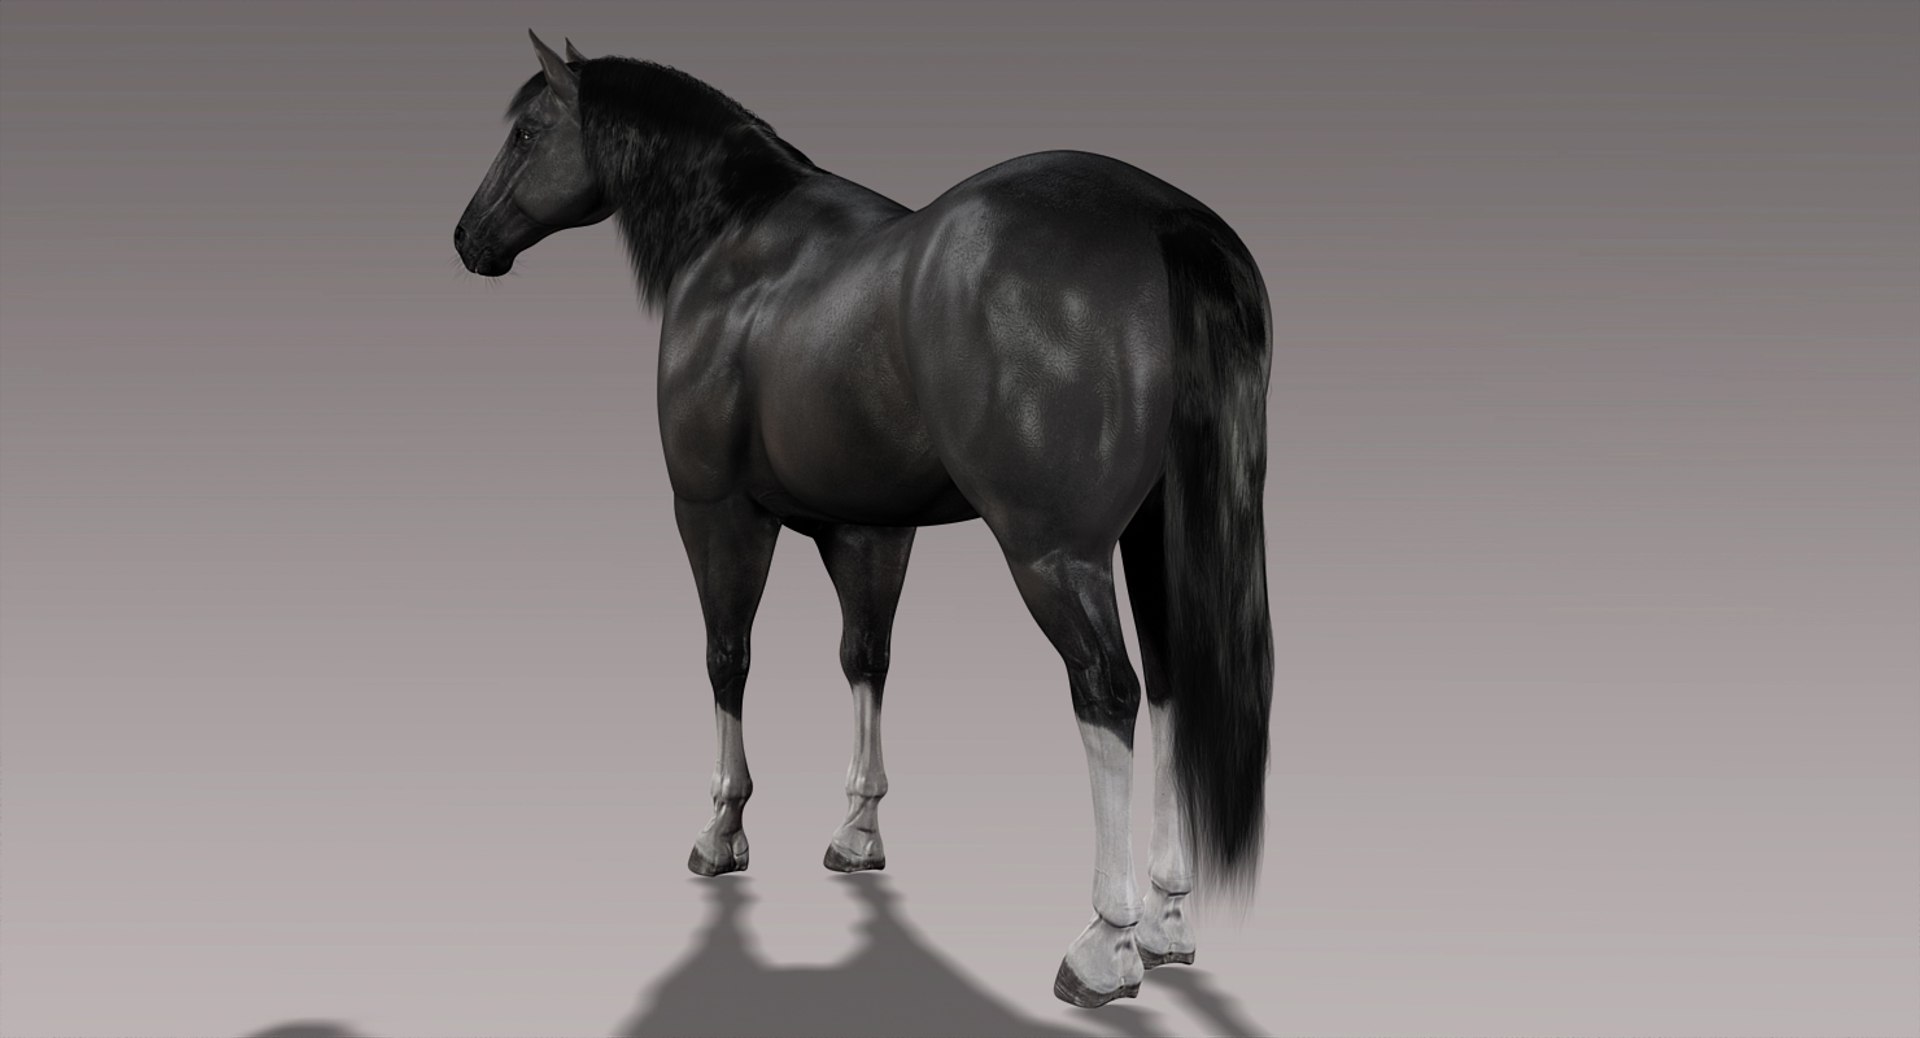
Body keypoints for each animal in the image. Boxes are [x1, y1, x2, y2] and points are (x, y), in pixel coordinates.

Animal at [454, 31, 1274, 1008]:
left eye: (528, 131)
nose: (467, 238)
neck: (734, 241)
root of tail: (1160, 220)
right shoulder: (868, 531)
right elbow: (865, 660)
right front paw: (856, 832)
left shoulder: (716, 512)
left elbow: (727, 660)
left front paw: (721, 830)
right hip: (1157, 540)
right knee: (1172, 687)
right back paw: (1167, 921)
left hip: (1053, 555)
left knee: (1108, 693)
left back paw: (1104, 947)